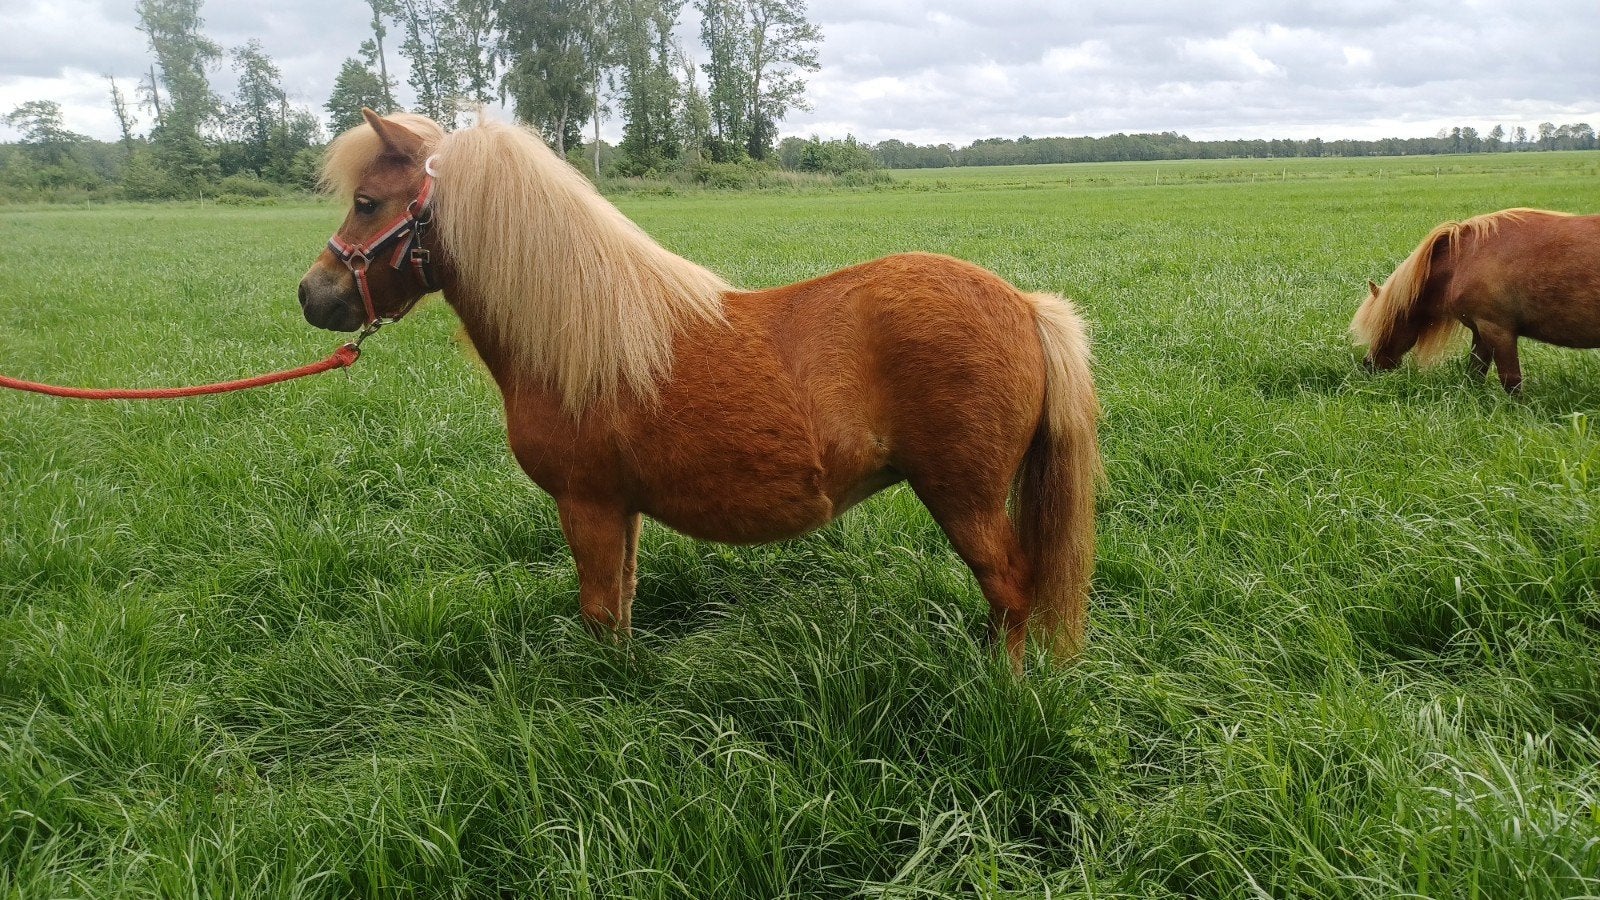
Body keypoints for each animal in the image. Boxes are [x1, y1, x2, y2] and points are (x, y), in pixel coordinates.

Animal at [297, 110, 1100, 670]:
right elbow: (621, 605)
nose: (312, 295)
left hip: (965, 499)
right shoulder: (619, 510)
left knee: (1012, 592)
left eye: (367, 201)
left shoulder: (586, 505)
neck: (584, 338)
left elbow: (599, 612)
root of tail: (1026, 306)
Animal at [1351, 208, 1600, 393]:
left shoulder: (1498, 330)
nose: (1368, 365)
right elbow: (1475, 373)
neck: (1462, 261)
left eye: (1382, 324)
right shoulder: (1481, 331)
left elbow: (1511, 381)